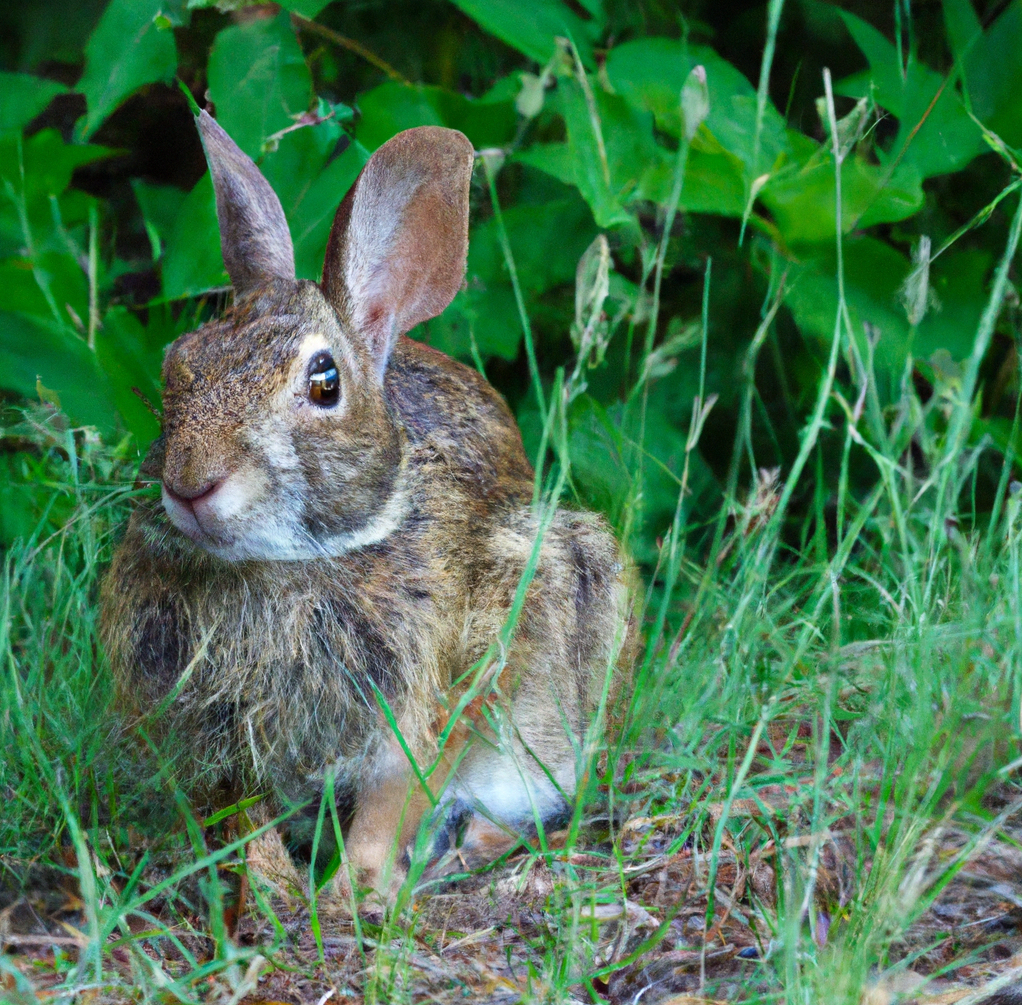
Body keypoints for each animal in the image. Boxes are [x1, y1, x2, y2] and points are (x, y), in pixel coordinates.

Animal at [99, 111, 633, 895]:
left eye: (325, 382)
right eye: (178, 363)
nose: (191, 483)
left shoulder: (426, 694)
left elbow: (393, 799)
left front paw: (356, 892)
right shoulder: (222, 723)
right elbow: (243, 808)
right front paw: (267, 882)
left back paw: (463, 849)